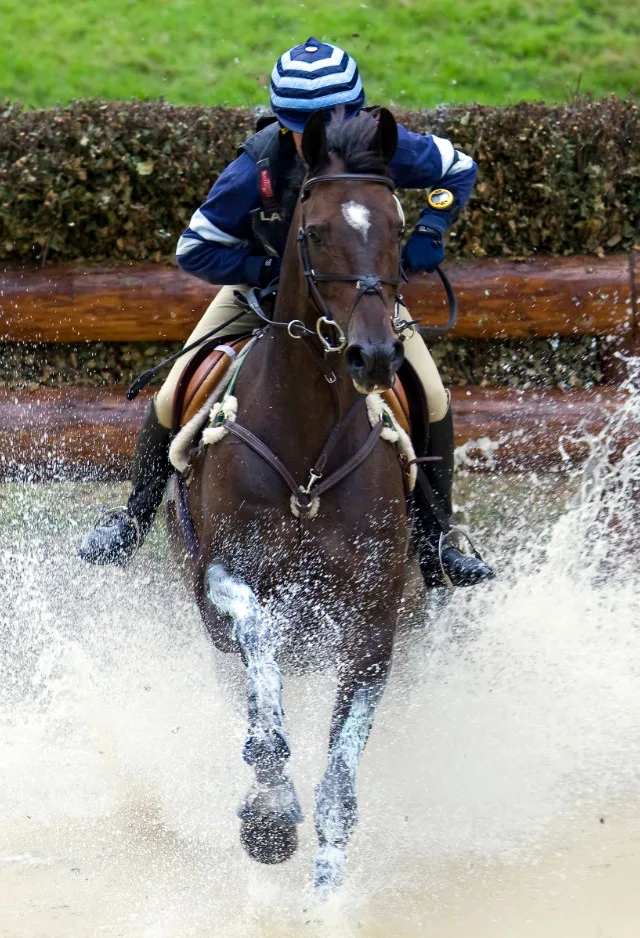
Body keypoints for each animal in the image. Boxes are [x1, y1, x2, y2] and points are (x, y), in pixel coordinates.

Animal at [167, 108, 425, 891]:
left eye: (398, 227)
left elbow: (341, 777)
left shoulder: (373, 620)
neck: (309, 458)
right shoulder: (222, 581)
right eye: (312, 232)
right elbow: (259, 641)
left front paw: (328, 895)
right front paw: (271, 807)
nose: (374, 356)